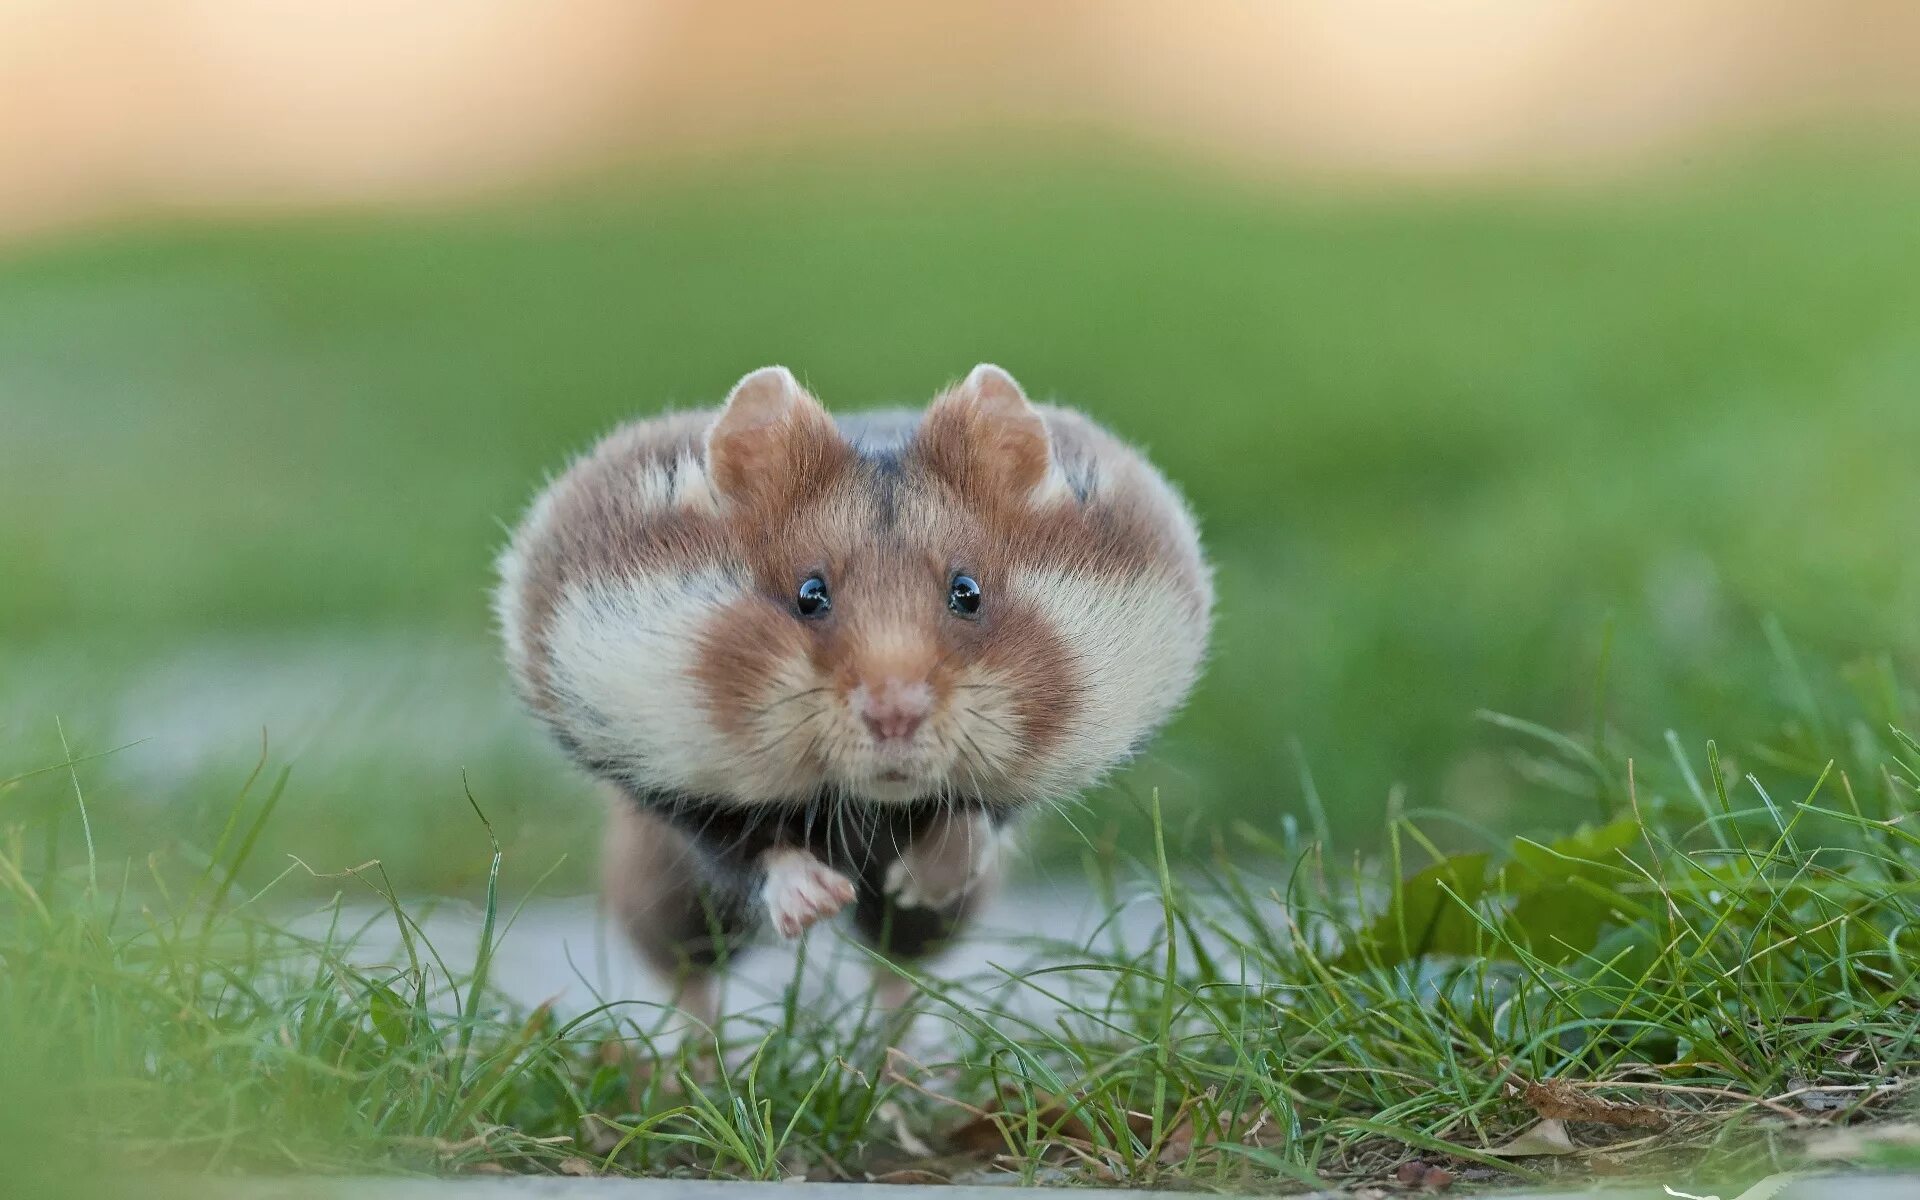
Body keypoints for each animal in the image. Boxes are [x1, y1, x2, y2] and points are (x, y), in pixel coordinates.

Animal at [495, 364, 1213, 1013]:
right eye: (810, 594)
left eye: (968, 592)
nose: (894, 716)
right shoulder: (670, 781)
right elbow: (750, 845)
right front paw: (817, 902)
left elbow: (977, 818)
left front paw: (916, 880)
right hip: (660, 885)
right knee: (688, 976)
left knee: (897, 967)